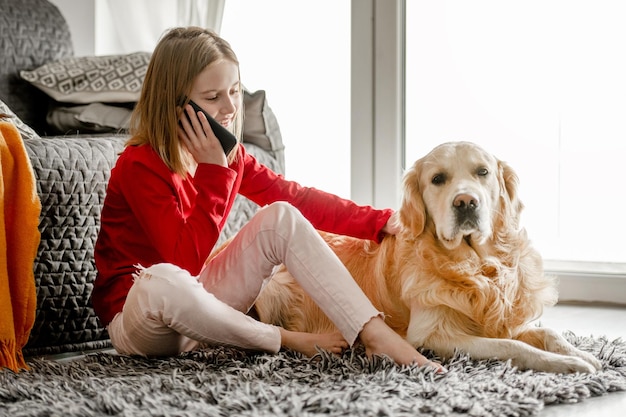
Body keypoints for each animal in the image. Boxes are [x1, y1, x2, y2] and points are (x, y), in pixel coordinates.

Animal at [249, 141, 600, 372]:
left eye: (483, 172)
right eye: (437, 179)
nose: (466, 202)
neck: (476, 266)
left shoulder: (505, 319)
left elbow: (546, 332)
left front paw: (582, 355)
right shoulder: (436, 334)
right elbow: (512, 345)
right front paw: (567, 364)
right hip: (274, 287)